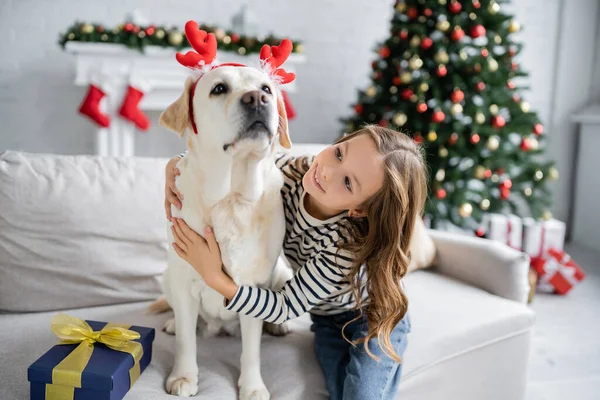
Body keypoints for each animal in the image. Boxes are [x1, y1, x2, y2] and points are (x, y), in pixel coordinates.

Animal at [155, 22, 296, 400]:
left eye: (266, 88)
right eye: (219, 88)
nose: (258, 99)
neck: (230, 196)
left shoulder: (252, 287)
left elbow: (252, 349)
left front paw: (252, 386)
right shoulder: (185, 280)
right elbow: (187, 342)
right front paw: (184, 377)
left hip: (283, 273)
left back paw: (279, 325)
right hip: (168, 277)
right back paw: (171, 323)